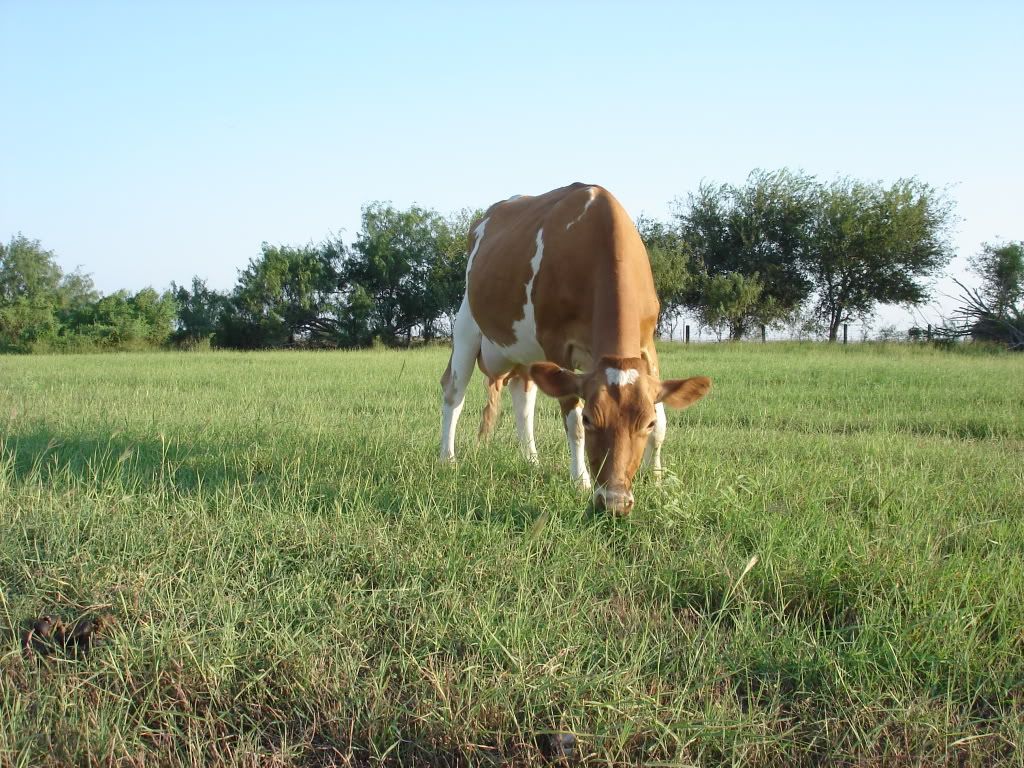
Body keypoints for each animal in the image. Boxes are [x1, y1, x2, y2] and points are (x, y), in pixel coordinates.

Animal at [439, 183, 711, 515]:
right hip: (467, 325)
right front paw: (580, 482)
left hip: (526, 351)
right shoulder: (557, 345)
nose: (614, 502)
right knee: (454, 393)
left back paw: (532, 461)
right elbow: (572, 423)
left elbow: (662, 424)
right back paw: (447, 459)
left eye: (644, 423)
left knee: (523, 399)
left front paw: (657, 480)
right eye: (590, 419)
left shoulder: (647, 344)